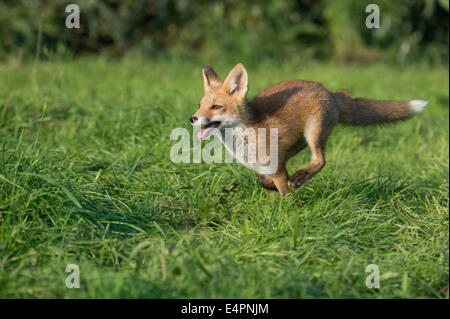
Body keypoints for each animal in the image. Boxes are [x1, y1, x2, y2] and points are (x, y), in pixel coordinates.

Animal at [188, 62, 428, 196]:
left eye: (216, 107)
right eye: (200, 105)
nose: (192, 118)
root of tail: (330, 92)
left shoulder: (276, 165)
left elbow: (285, 194)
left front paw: (290, 213)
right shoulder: (270, 164)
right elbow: (264, 181)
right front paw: (276, 188)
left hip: (314, 133)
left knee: (320, 160)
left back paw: (299, 177)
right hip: (300, 141)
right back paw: (299, 177)